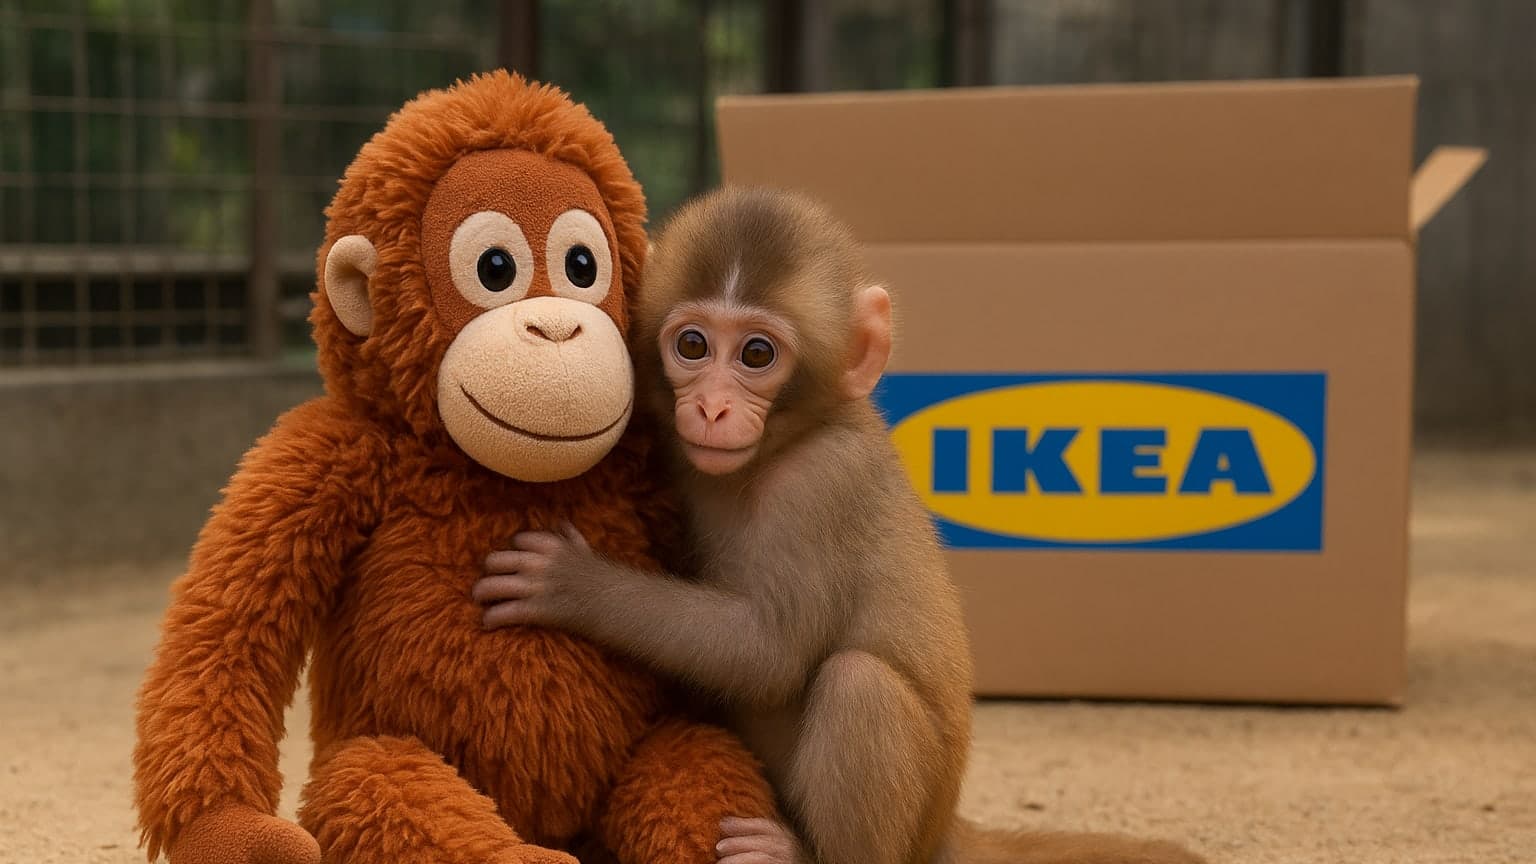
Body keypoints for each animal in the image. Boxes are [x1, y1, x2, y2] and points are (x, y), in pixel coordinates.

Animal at [470, 187, 1210, 864]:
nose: (710, 409)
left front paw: (573, 583)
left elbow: (768, 651)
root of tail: (948, 832)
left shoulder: (821, 485)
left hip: (907, 824)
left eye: (758, 355)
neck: (787, 442)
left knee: (860, 685)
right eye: (693, 344)